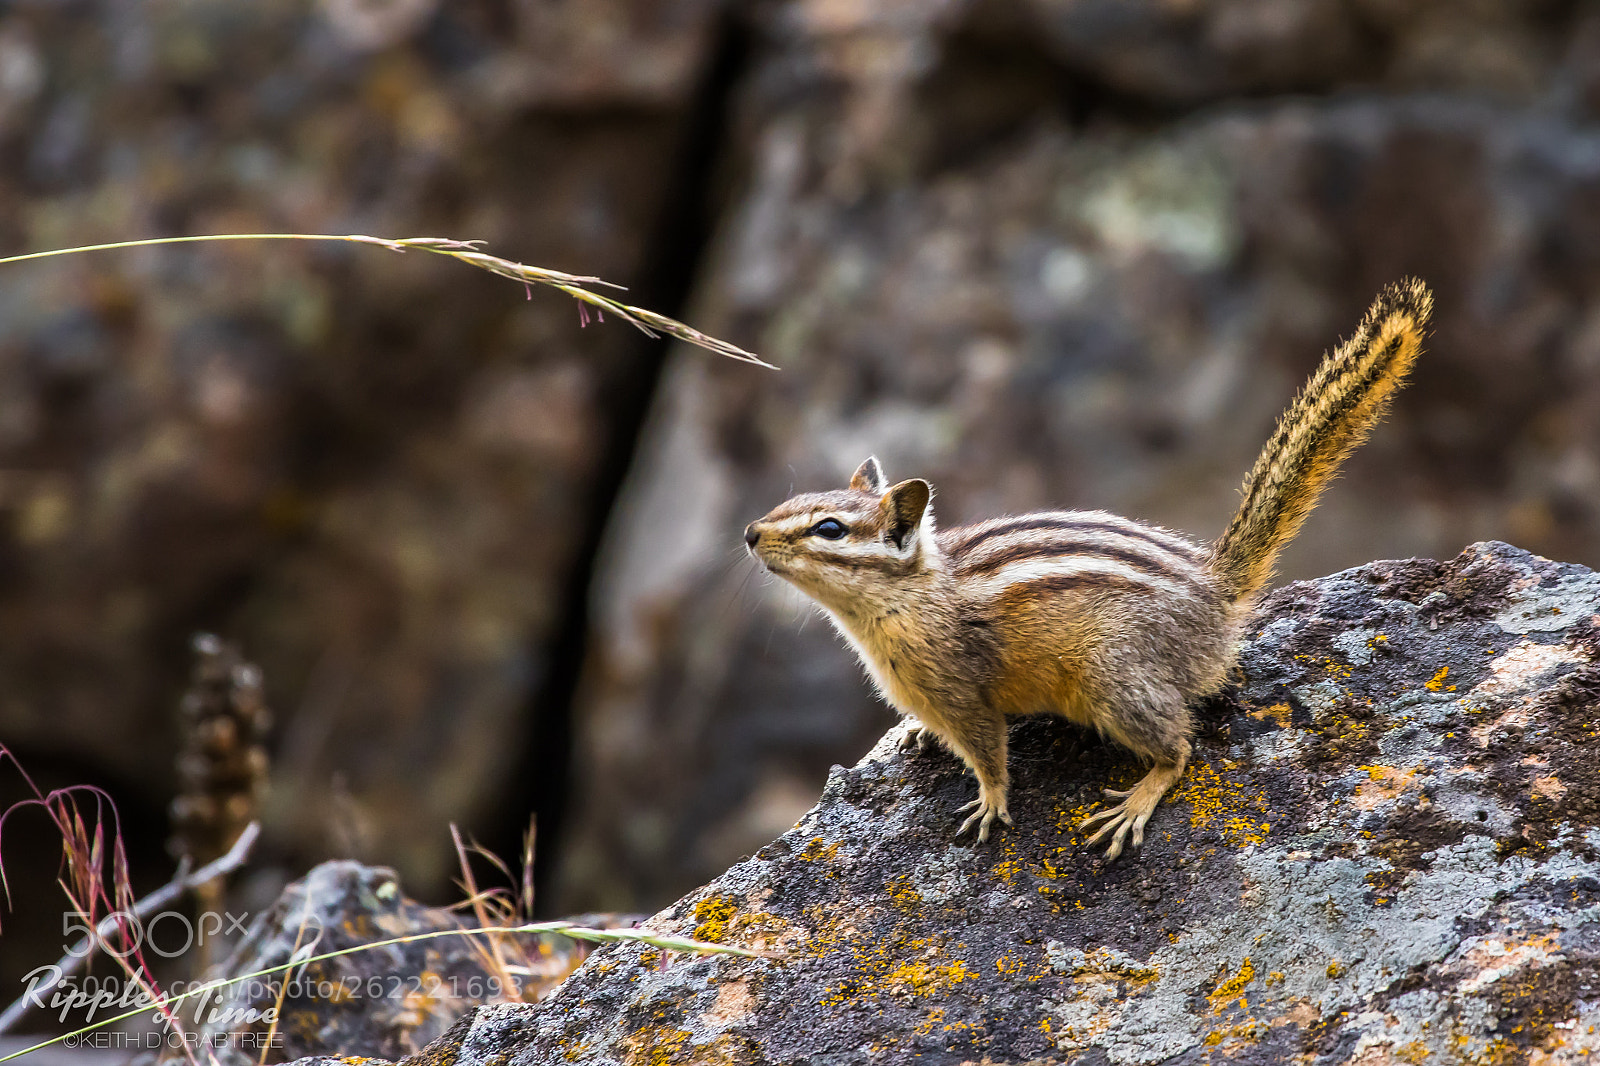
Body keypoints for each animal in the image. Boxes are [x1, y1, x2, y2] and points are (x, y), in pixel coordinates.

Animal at [744, 280, 1432, 859]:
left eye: (830, 529)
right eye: (793, 501)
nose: (749, 533)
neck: (911, 597)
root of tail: (1215, 589)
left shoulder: (965, 694)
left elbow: (990, 754)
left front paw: (990, 802)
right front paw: (913, 731)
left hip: (1113, 676)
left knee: (1182, 748)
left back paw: (1136, 801)